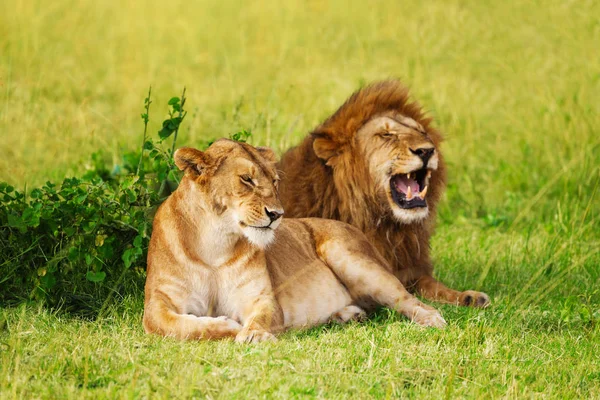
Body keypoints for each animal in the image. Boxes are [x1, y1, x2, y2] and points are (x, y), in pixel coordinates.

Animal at [144, 139, 446, 342]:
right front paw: (228, 326)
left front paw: (252, 334)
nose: (277, 214)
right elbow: (174, 325)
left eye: (275, 181)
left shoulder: (261, 298)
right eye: (246, 179)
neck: (215, 244)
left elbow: (261, 317)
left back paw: (432, 318)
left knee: (404, 297)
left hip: (348, 254)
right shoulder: (157, 302)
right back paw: (346, 316)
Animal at [278, 79, 490, 308]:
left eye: (422, 133)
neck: (385, 226)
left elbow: (434, 285)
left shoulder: (411, 269)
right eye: (387, 135)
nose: (426, 150)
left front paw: (469, 297)